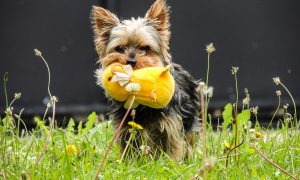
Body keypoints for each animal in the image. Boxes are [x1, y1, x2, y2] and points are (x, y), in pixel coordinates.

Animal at [91, 0, 199, 160]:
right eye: (120, 48)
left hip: (189, 122)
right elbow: (130, 151)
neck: (141, 104)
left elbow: (171, 149)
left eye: (145, 48)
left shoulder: (170, 127)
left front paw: (170, 163)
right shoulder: (127, 128)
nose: (130, 61)